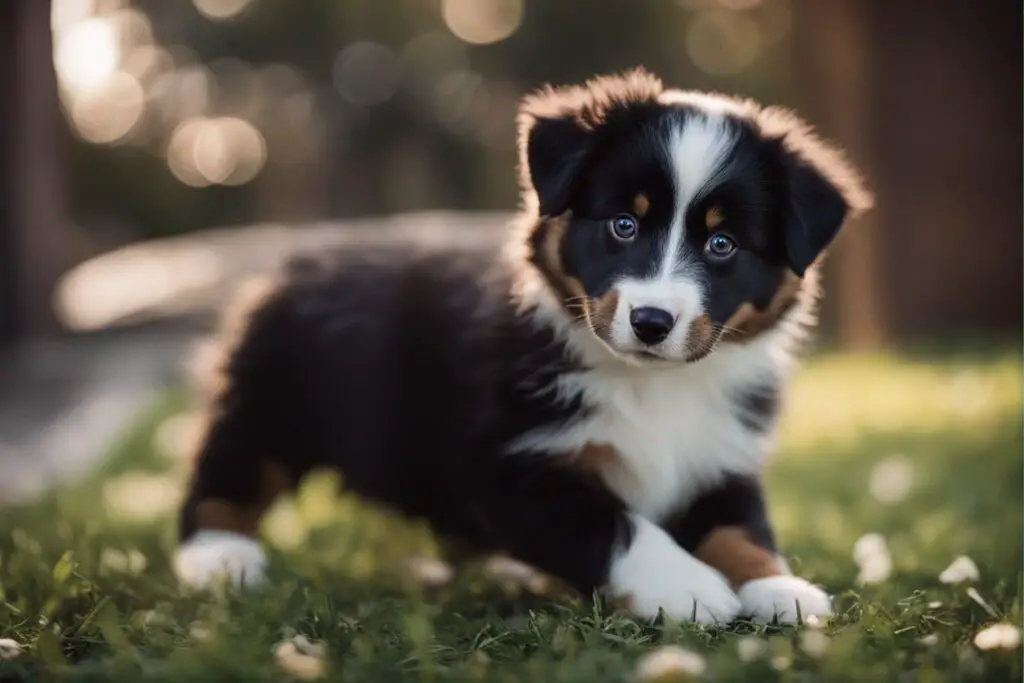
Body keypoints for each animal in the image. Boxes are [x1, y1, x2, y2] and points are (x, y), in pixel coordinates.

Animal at [174, 68, 872, 626]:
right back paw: (218, 555)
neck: (650, 382)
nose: (651, 321)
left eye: (722, 245)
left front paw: (778, 587)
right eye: (624, 225)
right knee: (228, 470)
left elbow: (742, 527)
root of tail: (295, 262)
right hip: (271, 398)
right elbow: (616, 527)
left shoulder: (719, 456)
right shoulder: (508, 460)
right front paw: (691, 589)